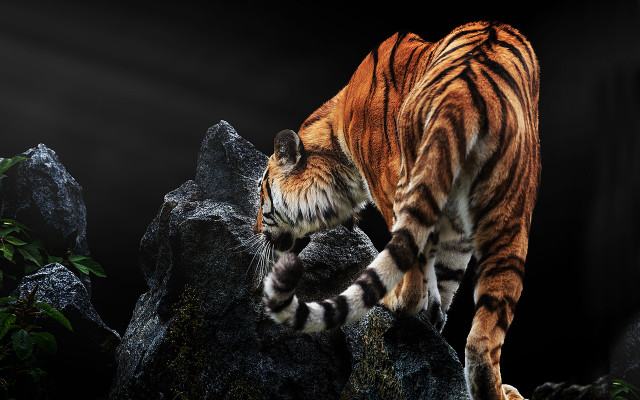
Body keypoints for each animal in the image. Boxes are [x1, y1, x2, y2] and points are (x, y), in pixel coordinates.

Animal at [253, 21, 540, 400]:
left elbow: (420, 271)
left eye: (261, 199)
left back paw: (393, 301)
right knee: (482, 340)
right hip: (509, 216)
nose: (255, 231)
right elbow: (444, 278)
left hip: (409, 183)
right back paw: (498, 391)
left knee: (410, 274)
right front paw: (435, 318)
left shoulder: (385, 183)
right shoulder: (457, 233)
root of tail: (462, 97)